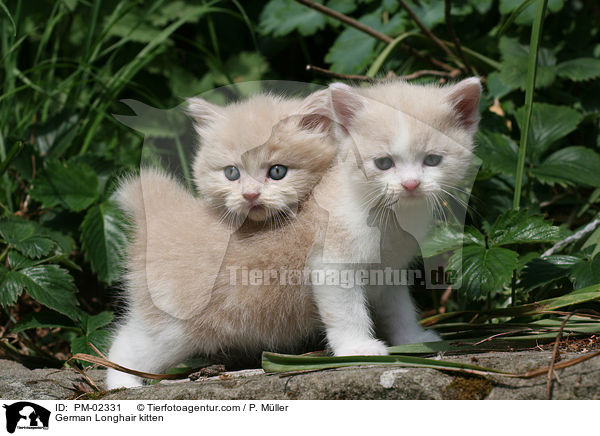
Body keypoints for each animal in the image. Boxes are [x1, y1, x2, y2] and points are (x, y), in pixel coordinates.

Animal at [105, 93, 336, 388]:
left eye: (277, 171)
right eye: (232, 173)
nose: (250, 195)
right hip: (173, 328)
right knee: (124, 348)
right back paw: (123, 385)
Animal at [310, 78, 482, 356]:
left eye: (432, 160)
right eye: (383, 163)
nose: (410, 184)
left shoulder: (390, 264)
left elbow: (398, 306)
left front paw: (411, 338)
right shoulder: (332, 258)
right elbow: (345, 309)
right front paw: (357, 347)